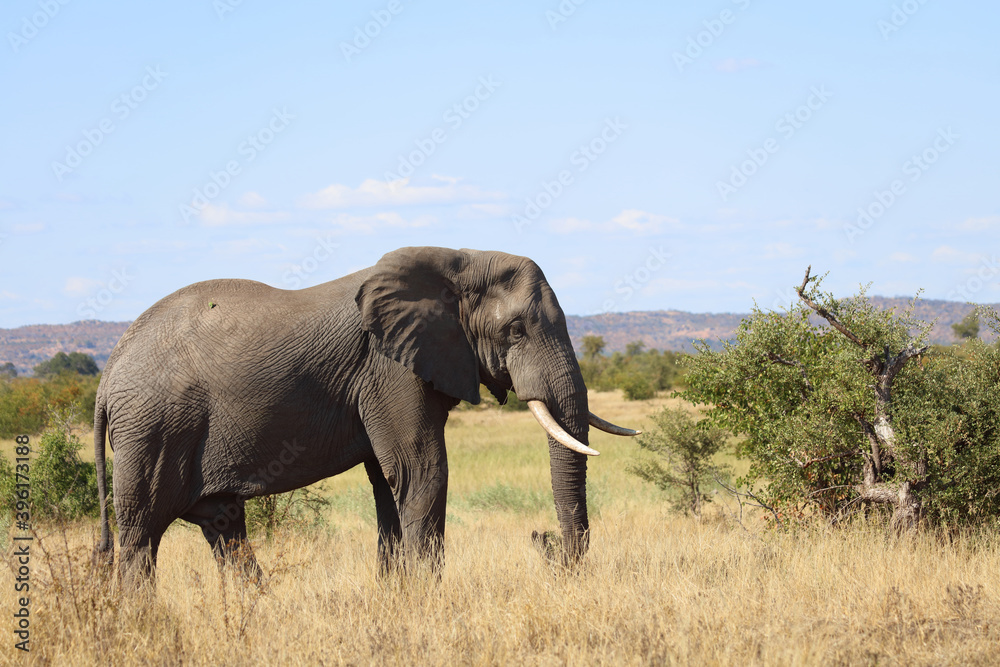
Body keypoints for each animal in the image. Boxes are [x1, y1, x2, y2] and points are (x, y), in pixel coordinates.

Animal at [93, 246, 639, 587]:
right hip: (153, 428)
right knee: (141, 533)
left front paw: (397, 596)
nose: (542, 539)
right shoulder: (387, 366)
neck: (459, 259)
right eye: (517, 329)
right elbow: (421, 469)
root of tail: (107, 373)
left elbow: (388, 481)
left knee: (224, 526)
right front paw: (425, 601)